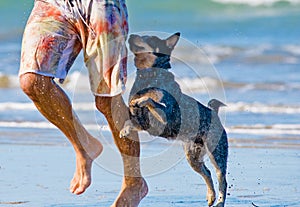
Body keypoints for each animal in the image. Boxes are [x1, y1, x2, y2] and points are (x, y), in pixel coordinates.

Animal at [119, 33, 227, 206]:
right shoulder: (142, 121)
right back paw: (211, 196)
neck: (149, 75)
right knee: (207, 173)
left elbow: (150, 100)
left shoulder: (165, 115)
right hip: (193, 158)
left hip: (217, 153)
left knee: (222, 178)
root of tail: (214, 114)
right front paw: (125, 129)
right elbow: (131, 121)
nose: (131, 35)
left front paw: (142, 100)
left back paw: (220, 201)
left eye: (149, 38)